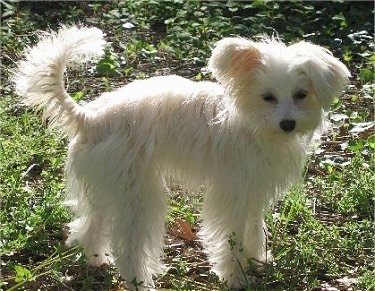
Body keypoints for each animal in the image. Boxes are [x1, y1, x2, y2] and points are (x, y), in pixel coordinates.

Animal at [13, 26, 352, 290]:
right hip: (138, 196)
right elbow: (230, 237)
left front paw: (258, 259)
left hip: (107, 187)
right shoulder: (231, 196)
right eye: (268, 97)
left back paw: (97, 261)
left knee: (88, 228)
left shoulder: (253, 192)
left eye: (301, 94)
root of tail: (90, 118)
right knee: (130, 247)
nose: (287, 124)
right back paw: (139, 281)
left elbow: (254, 230)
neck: (251, 123)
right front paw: (235, 276)